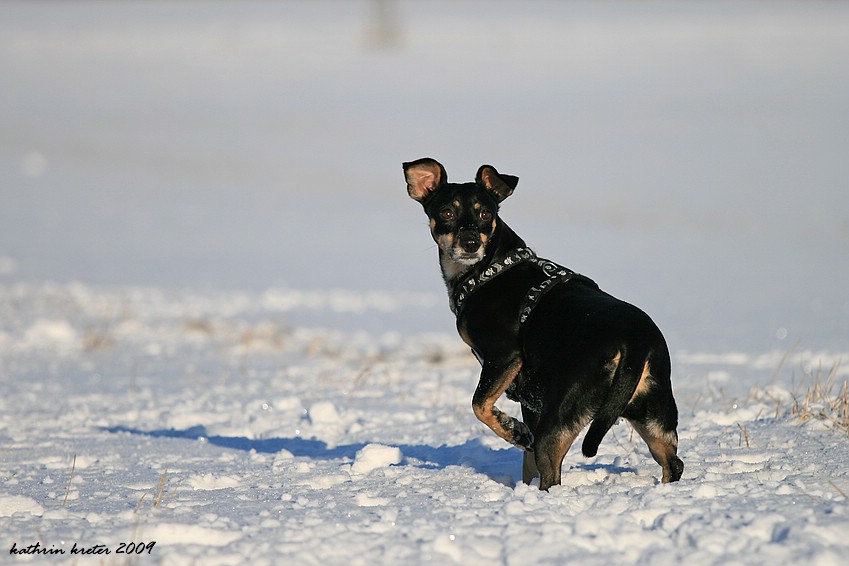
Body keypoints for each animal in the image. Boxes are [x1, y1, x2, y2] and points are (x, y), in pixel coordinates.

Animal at [404, 158, 684, 490]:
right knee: (673, 463)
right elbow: (527, 463)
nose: (471, 243)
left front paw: (512, 430)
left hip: (561, 416)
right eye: (447, 212)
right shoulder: (531, 401)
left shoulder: (504, 358)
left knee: (552, 475)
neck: (488, 270)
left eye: (486, 213)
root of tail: (634, 343)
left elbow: (480, 405)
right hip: (653, 415)